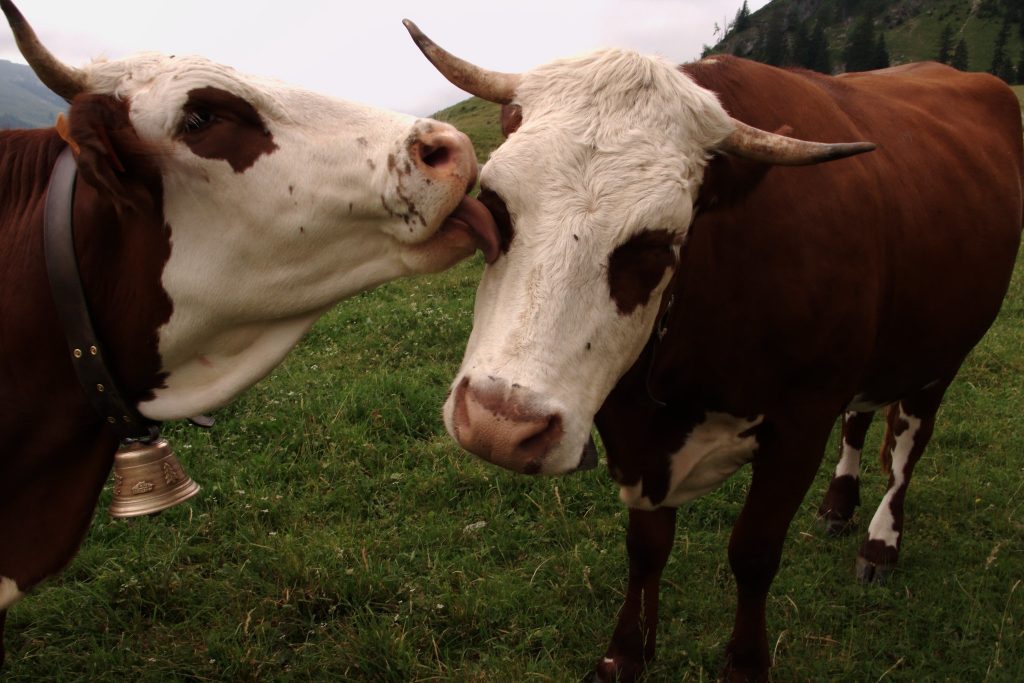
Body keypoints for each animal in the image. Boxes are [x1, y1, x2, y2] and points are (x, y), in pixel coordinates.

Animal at [405, 21, 1024, 683]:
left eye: (656, 245)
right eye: (493, 207)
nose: (499, 425)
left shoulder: (799, 428)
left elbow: (753, 554)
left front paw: (746, 665)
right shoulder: (640, 440)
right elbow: (646, 547)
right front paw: (626, 653)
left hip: (941, 357)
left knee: (906, 445)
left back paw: (880, 540)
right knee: (860, 419)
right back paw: (839, 504)